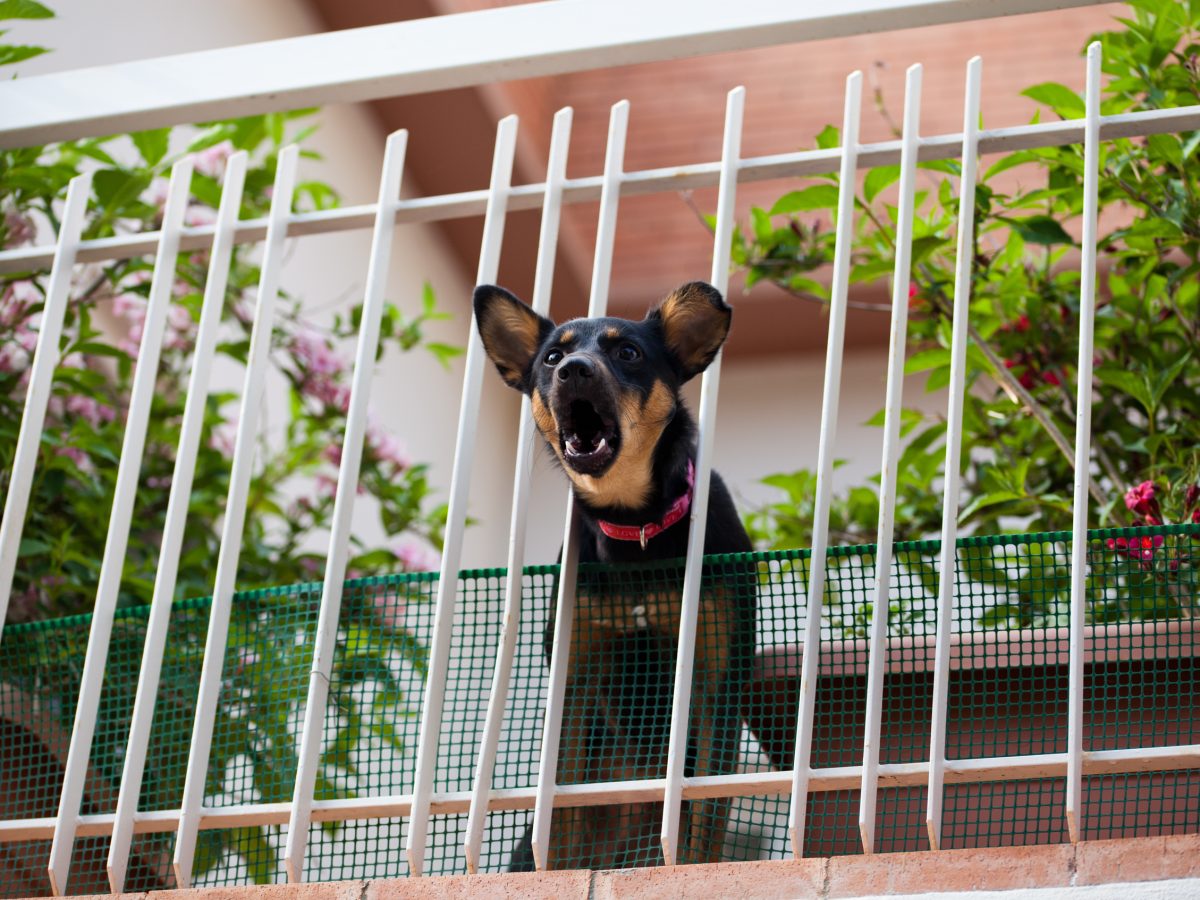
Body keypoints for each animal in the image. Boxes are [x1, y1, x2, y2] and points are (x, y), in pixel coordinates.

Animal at [472, 283, 753, 873]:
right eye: (551, 357)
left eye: (628, 352)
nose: (573, 371)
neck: (633, 530)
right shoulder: (573, 684)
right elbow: (561, 822)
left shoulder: (715, 682)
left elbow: (703, 829)